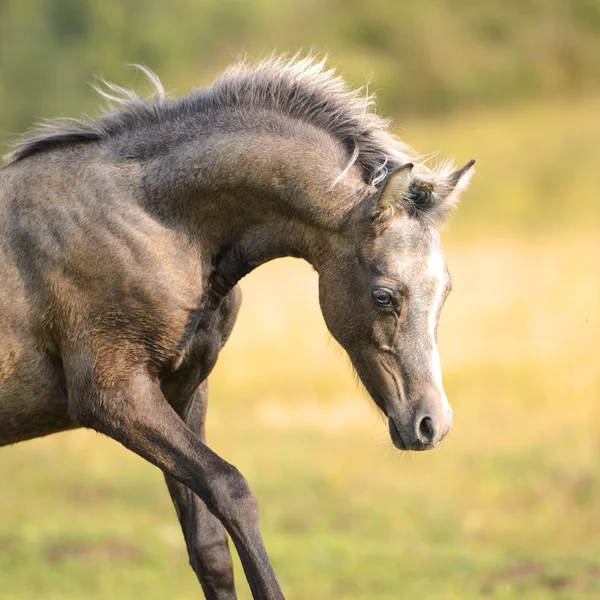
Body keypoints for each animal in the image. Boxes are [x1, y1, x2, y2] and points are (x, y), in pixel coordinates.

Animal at [1, 55, 474, 596]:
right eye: (383, 295)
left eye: (447, 290)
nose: (431, 424)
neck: (159, 221)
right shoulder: (112, 395)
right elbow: (231, 489)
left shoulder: (182, 391)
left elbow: (208, 547)